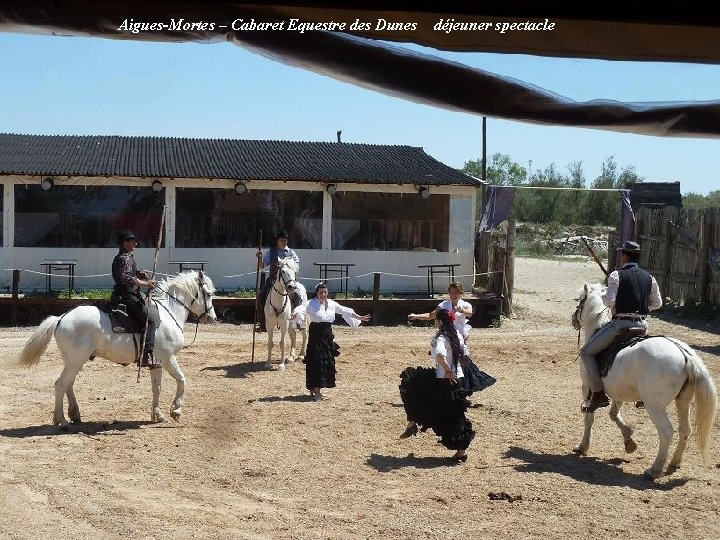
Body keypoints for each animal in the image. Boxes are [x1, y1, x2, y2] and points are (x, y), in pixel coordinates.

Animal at [17, 270, 217, 426]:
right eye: (208, 294)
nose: (212, 317)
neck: (169, 313)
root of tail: (61, 318)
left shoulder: (157, 362)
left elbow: (157, 388)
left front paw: (157, 415)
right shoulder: (168, 358)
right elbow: (182, 380)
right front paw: (176, 410)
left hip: (74, 361)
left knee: (68, 384)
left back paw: (75, 414)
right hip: (75, 361)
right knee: (61, 384)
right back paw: (61, 420)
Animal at [572, 280, 716, 478]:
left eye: (580, 300)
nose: (573, 319)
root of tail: (684, 353)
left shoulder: (587, 388)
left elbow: (590, 418)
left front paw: (582, 446)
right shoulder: (617, 392)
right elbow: (613, 414)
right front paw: (629, 441)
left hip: (654, 405)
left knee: (667, 432)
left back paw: (654, 470)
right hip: (683, 401)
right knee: (684, 430)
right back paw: (674, 463)